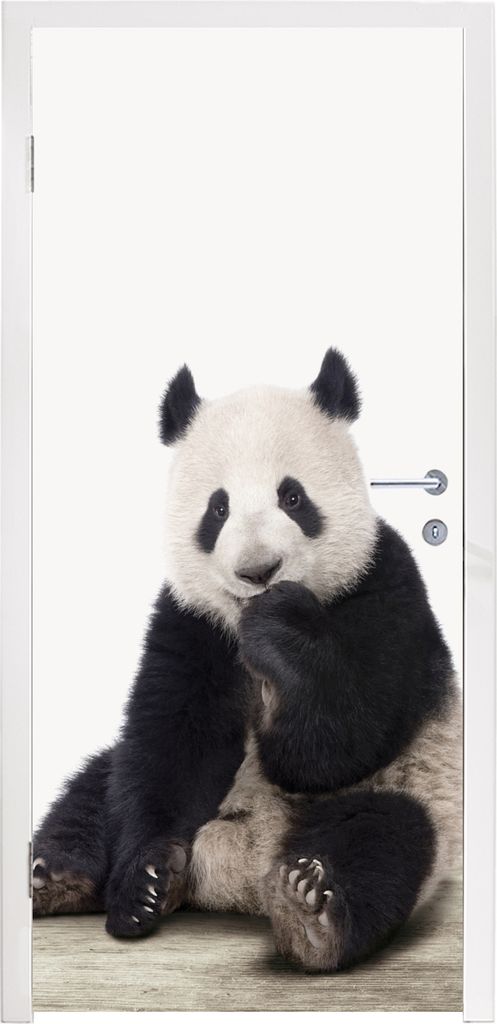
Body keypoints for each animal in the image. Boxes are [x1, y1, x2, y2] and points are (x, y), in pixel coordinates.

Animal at [33, 348, 461, 972]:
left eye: (293, 497)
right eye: (218, 508)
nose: (259, 571)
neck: (242, 623)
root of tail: (240, 874)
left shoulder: (385, 585)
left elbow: (338, 742)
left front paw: (281, 630)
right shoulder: (191, 620)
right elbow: (171, 743)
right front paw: (144, 884)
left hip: (417, 791)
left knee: (384, 839)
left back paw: (311, 910)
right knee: (95, 789)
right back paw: (57, 877)